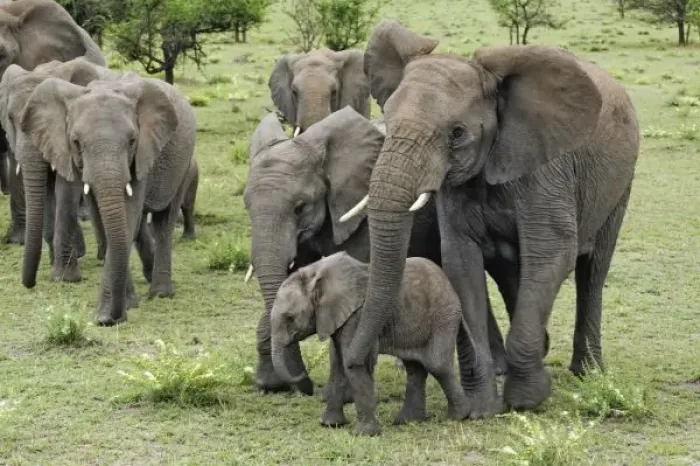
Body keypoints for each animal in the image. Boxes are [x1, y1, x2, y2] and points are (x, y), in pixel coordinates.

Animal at [0, 58, 125, 285]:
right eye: (11, 119)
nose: (30, 283)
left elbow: (66, 190)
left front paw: (65, 277)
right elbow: (46, 193)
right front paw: (55, 264)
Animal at [20, 73, 197, 325]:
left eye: (132, 141)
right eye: (76, 143)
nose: (30, 284)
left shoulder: (141, 153)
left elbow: (127, 216)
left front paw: (107, 317)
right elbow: (105, 220)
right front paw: (123, 308)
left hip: (184, 162)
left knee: (164, 220)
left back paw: (160, 293)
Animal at [244, 106, 442, 396]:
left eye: (300, 207)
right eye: (247, 207)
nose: (305, 385)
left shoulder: (361, 213)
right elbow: (289, 280)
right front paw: (269, 385)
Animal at [271, 252, 471, 436]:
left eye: (290, 317)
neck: (314, 273)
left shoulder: (357, 317)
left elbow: (351, 365)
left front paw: (363, 433)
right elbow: (338, 365)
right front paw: (329, 424)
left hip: (444, 316)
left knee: (437, 365)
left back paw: (459, 416)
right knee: (415, 367)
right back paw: (408, 420)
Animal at [339, 21, 640, 414]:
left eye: (457, 133)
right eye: (386, 119)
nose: (355, 363)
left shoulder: (547, 170)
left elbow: (551, 253)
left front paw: (526, 401)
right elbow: (461, 262)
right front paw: (481, 408)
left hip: (621, 182)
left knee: (592, 270)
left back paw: (587, 372)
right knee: (511, 273)